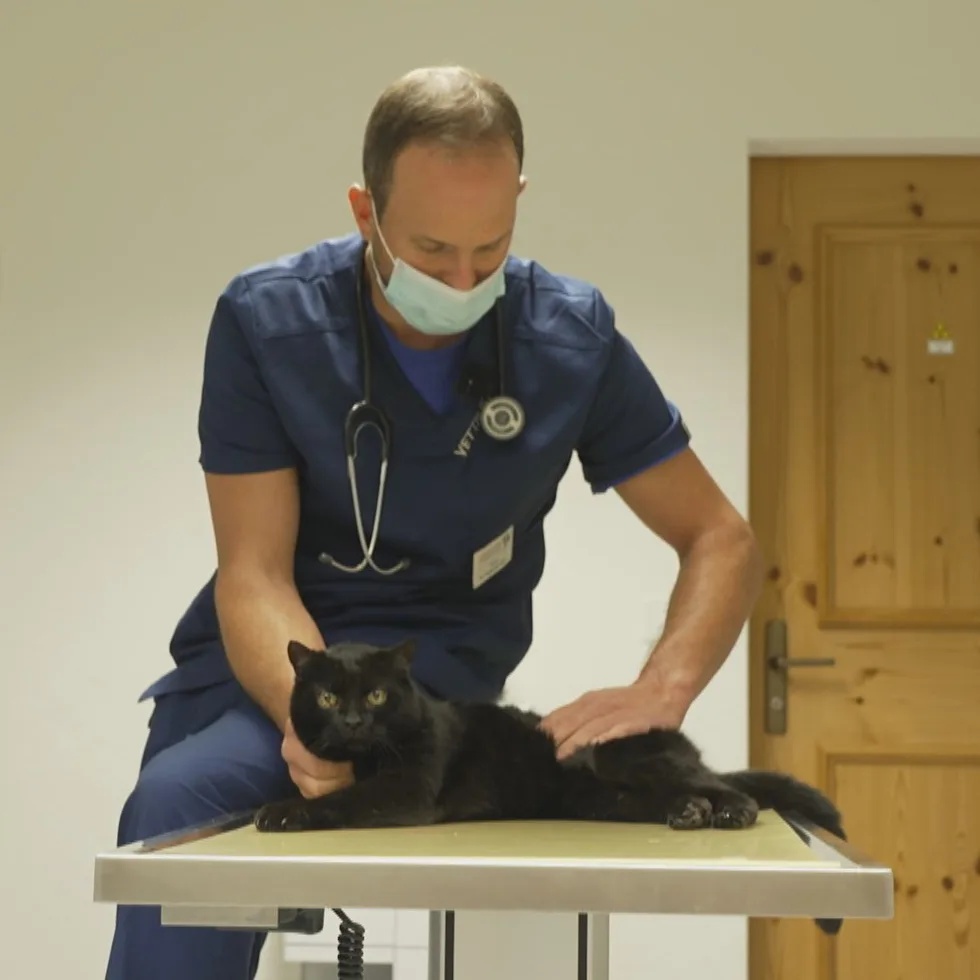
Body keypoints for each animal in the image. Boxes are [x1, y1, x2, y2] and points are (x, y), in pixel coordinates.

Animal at [254, 638, 846, 933]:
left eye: (376, 696)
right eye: (328, 698)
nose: (353, 722)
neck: (367, 758)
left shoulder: (406, 787)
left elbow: (342, 799)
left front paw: (281, 812)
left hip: (623, 764)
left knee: (732, 790)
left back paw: (727, 810)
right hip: (607, 800)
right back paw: (690, 813)